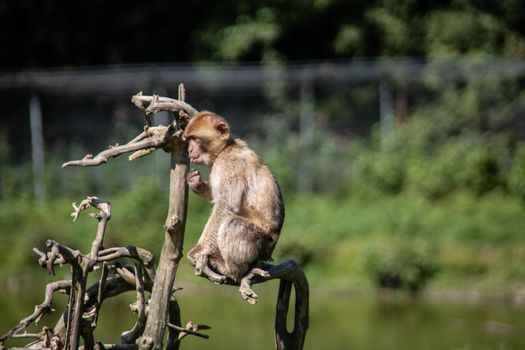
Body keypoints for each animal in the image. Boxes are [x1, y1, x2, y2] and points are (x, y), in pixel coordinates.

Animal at [182, 110, 284, 302]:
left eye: (195, 139)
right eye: (189, 139)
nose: (190, 149)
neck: (224, 150)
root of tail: (269, 253)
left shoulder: (230, 165)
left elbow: (225, 207)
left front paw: (198, 251)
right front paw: (197, 184)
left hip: (261, 243)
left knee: (233, 224)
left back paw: (232, 270)